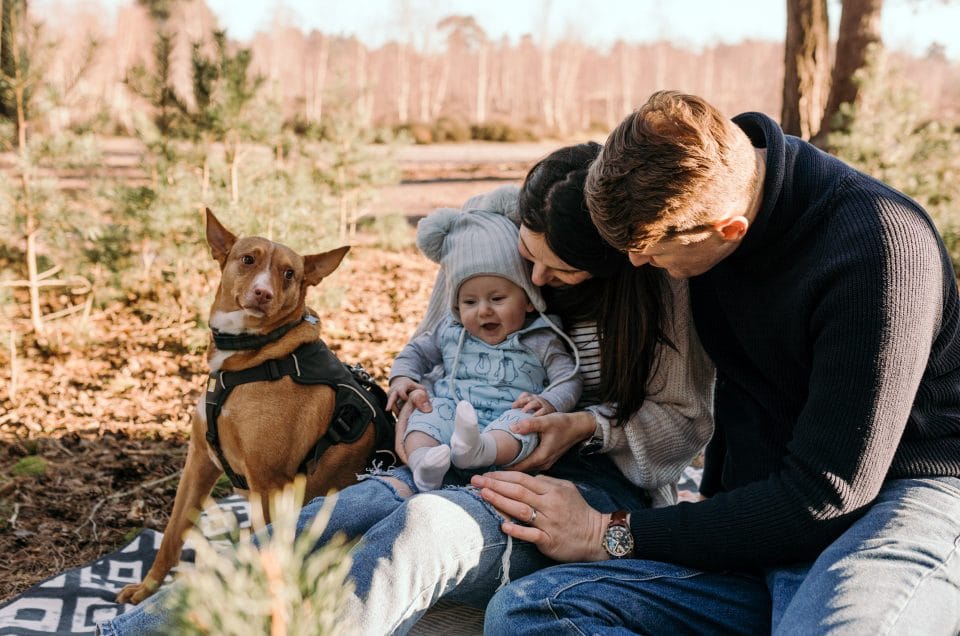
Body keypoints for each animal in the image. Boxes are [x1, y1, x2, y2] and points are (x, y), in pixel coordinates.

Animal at [114, 211, 392, 604]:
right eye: (248, 259)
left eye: (289, 273)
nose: (263, 293)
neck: (254, 355)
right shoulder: (198, 461)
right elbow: (172, 533)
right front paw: (147, 589)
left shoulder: (268, 484)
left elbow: (263, 550)